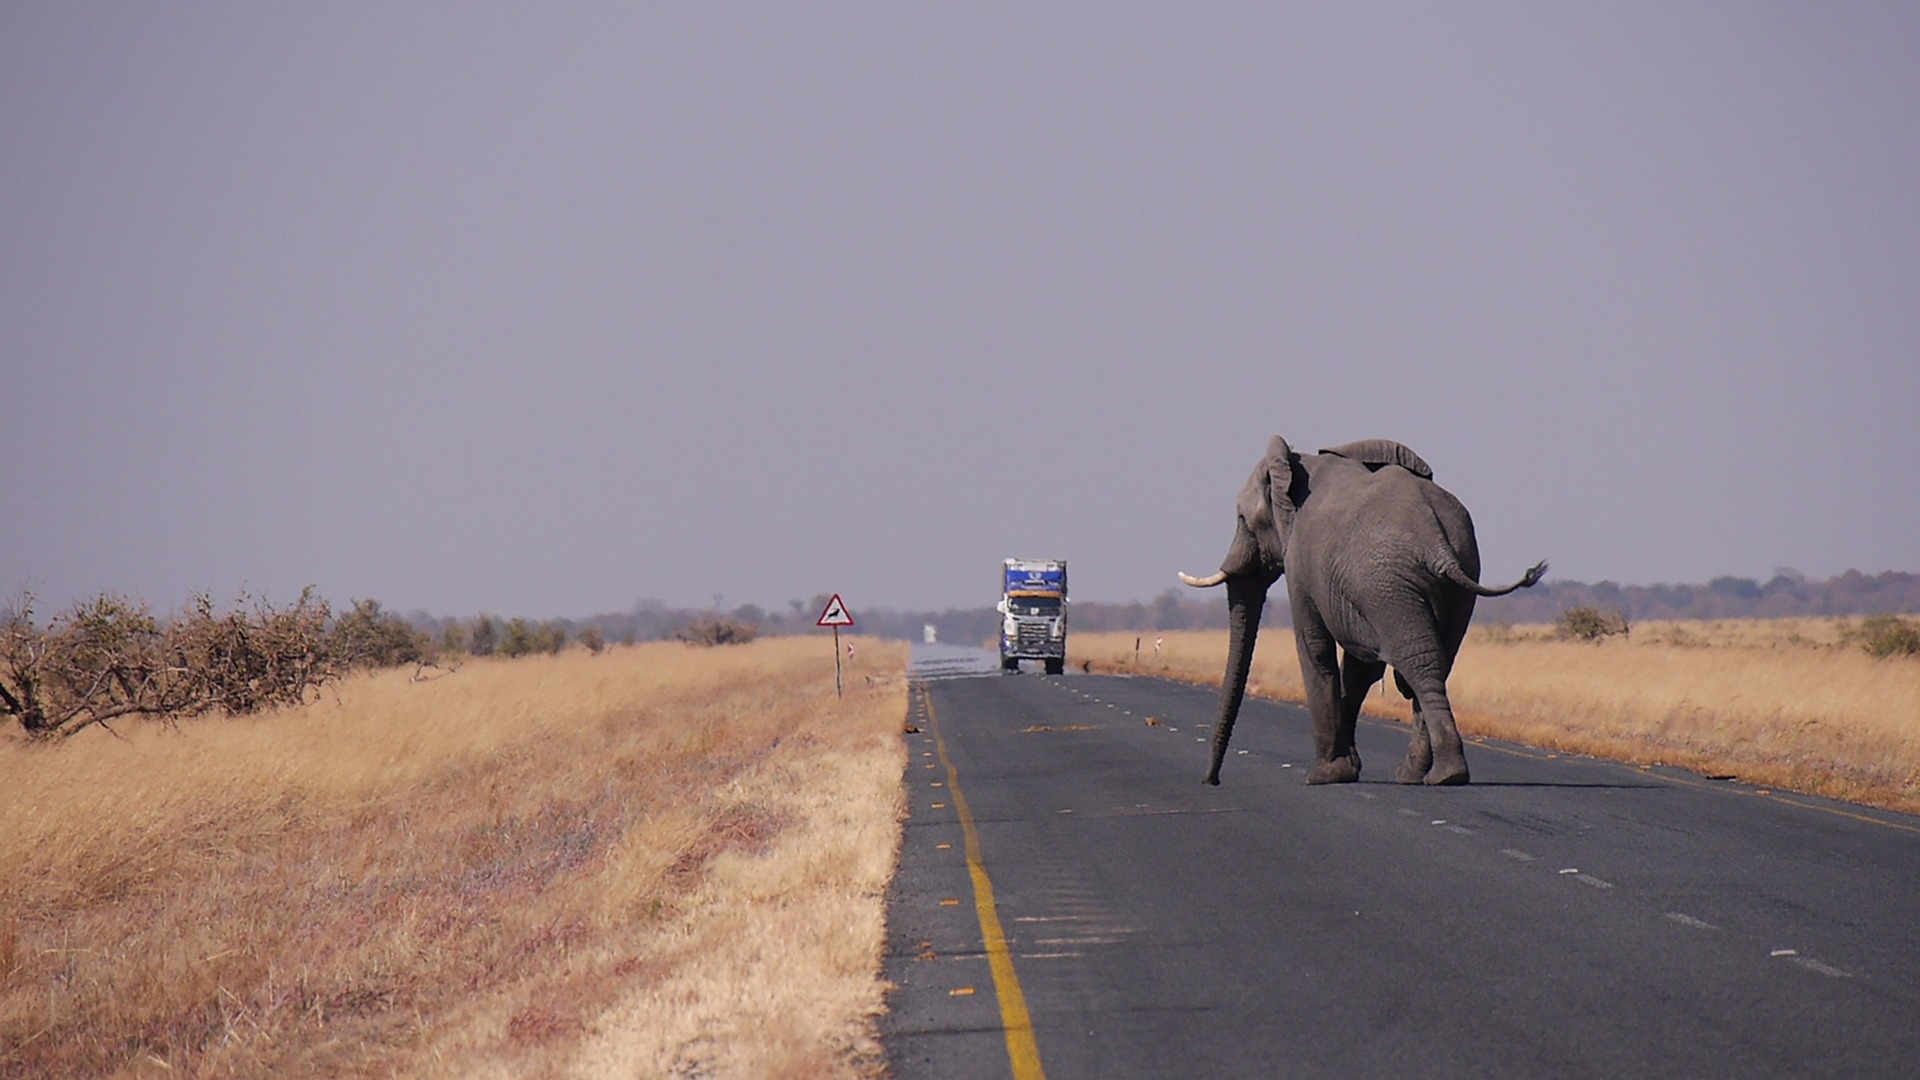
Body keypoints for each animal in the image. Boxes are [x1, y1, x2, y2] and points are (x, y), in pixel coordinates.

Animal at [1182, 434, 1543, 780]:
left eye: (1243, 519)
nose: (1211, 780)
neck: (1296, 465)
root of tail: (1438, 543)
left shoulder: (1301, 563)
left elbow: (1315, 651)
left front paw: (1325, 775)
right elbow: (1359, 670)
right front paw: (1347, 767)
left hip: (1387, 584)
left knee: (1417, 662)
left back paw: (1442, 775)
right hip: (1451, 574)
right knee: (1435, 662)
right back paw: (1421, 775)